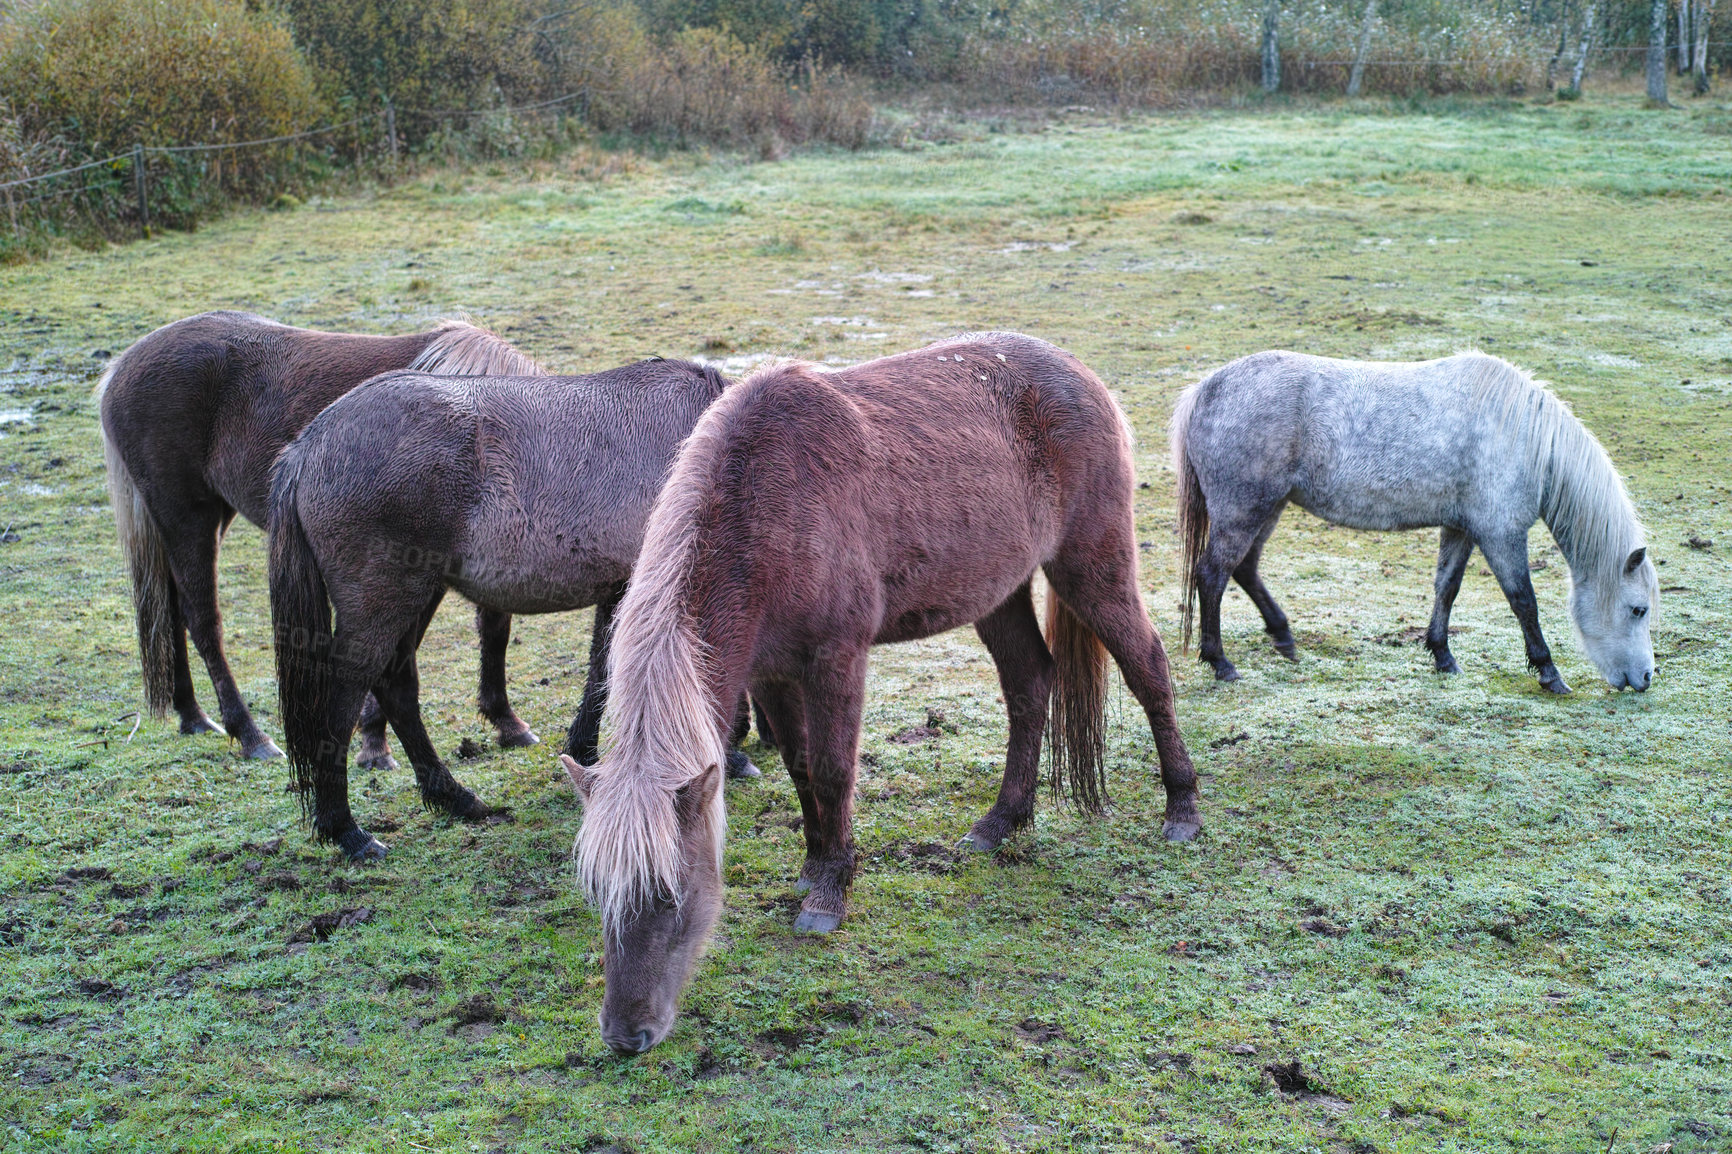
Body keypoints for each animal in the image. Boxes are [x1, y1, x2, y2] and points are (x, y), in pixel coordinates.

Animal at [98, 310, 540, 758]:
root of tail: (121, 368)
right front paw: (373, 740)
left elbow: (495, 628)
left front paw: (505, 721)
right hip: (187, 516)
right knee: (201, 618)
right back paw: (251, 735)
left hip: (205, 517)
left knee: (171, 607)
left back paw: (192, 715)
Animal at [268, 362, 758, 862]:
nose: (746, 735)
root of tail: (308, 446)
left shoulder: (620, 589)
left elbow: (601, 673)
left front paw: (584, 754)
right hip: (383, 603)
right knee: (343, 700)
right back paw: (346, 829)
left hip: (417, 597)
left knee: (397, 688)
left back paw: (454, 797)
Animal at [561, 332, 1198, 1053]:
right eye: (597, 894)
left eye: (670, 894)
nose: (625, 1035)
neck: (765, 503)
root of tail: (1079, 374)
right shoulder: (770, 672)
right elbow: (800, 766)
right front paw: (814, 864)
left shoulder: (836, 658)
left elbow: (834, 770)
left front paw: (828, 894)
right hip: (999, 591)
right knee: (1030, 685)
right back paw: (1000, 822)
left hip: (1091, 565)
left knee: (1148, 667)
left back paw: (1181, 806)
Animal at [1170, 350, 1655, 686]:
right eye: (1639, 609)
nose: (1647, 679)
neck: (1522, 437)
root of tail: (1204, 390)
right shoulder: (1500, 534)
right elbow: (1524, 602)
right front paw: (1549, 673)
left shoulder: (1462, 528)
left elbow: (1447, 588)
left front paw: (1442, 656)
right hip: (1243, 510)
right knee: (1212, 575)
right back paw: (1221, 663)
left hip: (1266, 508)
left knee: (1244, 570)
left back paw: (1283, 638)